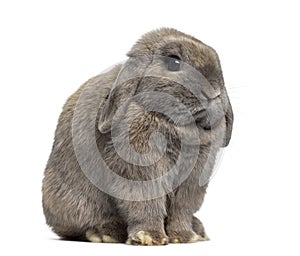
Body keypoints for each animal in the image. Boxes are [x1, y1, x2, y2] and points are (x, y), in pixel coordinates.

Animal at [42, 27, 234, 245]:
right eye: (174, 62)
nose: (214, 91)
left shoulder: (193, 179)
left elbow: (181, 209)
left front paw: (184, 237)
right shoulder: (140, 170)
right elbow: (146, 203)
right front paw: (149, 237)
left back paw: (198, 229)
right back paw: (104, 233)